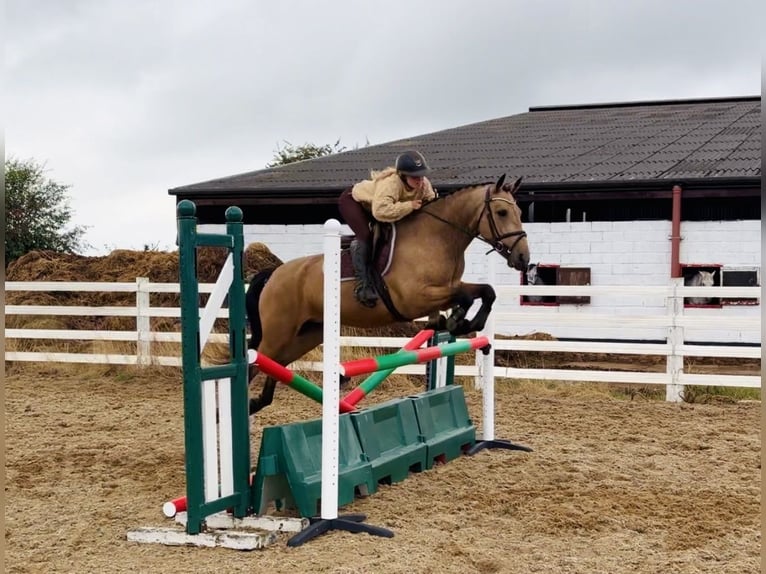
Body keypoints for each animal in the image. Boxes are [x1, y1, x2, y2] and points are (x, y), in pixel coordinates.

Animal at [245, 174, 530, 414]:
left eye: (519, 212)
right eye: (502, 212)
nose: (523, 258)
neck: (436, 238)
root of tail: (274, 273)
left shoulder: (449, 286)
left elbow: (486, 292)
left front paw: (463, 322)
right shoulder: (415, 298)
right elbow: (466, 297)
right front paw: (455, 321)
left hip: (307, 333)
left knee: (276, 363)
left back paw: (258, 402)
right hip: (278, 332)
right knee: (254, 361)